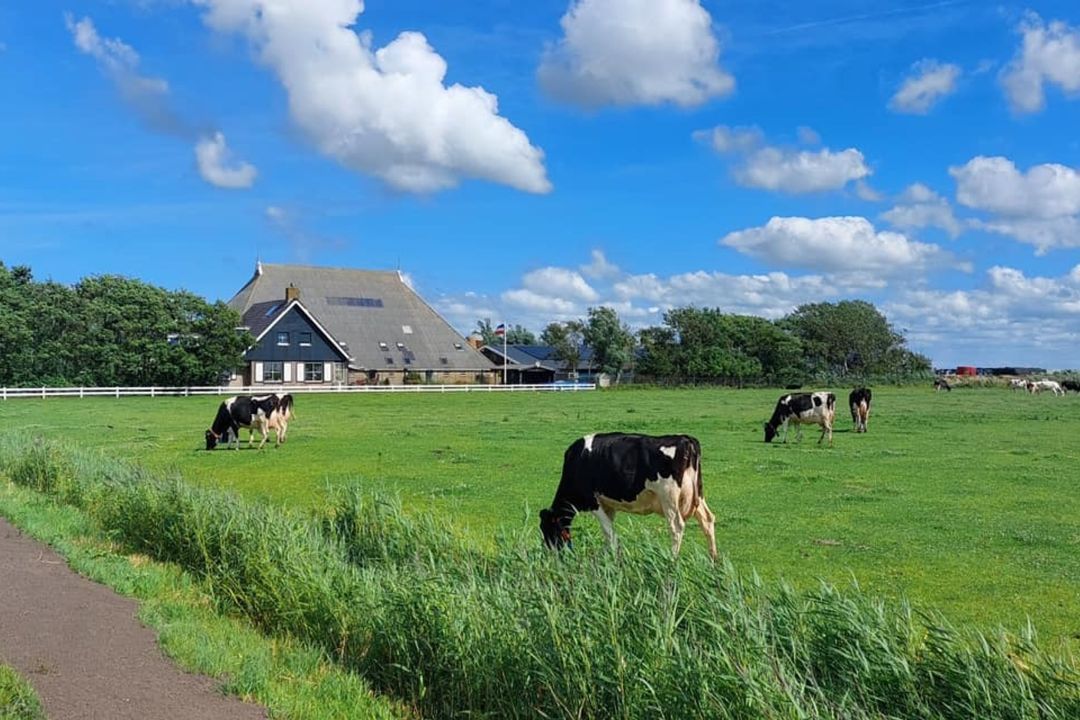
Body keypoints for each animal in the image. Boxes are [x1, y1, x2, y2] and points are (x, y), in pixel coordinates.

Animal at [537, 431, 717, 561]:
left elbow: (608, 531)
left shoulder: (592, 501)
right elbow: (608, 530)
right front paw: (607, 557)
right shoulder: (608, 505)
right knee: (707, 519)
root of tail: (685, 439)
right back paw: (713, 560)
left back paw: (672, 559)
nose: (551, 556)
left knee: (676, 526)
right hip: (698, 495)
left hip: (668, 497)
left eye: (547, 530)